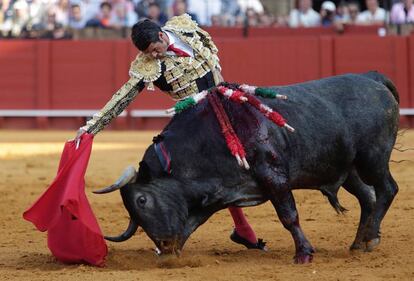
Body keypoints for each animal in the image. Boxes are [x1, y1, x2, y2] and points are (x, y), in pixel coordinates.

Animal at [94, 71, 398, 262]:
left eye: (142, 200)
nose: (164, 246)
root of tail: (373, 79)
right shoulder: (213, 193)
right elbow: (190, 224)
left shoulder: (274, 177)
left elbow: (289, 216)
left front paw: (303, 254)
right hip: (350, 169)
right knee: (368, 198)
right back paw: (359, 243)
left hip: (373, 159)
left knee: (387, 190)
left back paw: (370, 239)